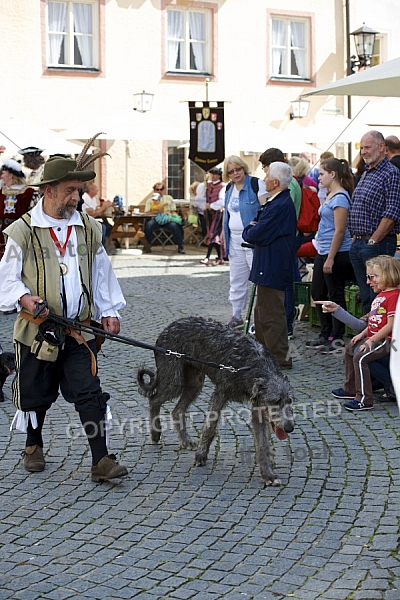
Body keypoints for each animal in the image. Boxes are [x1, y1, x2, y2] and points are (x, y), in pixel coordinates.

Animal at [138, 316, 294, 486]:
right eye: (275, 401)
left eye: (289, 401)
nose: (289, 428)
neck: (252, 365)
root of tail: (168, 327)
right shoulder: (221, 393)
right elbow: (209, 426)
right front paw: (201, 455)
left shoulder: (258, 406)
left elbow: (263, 443)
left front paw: (267, 475)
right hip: (174, 380)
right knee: (154, 399)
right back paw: (155, 432)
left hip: (195, 383)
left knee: (177, 410)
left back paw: (185, 441)